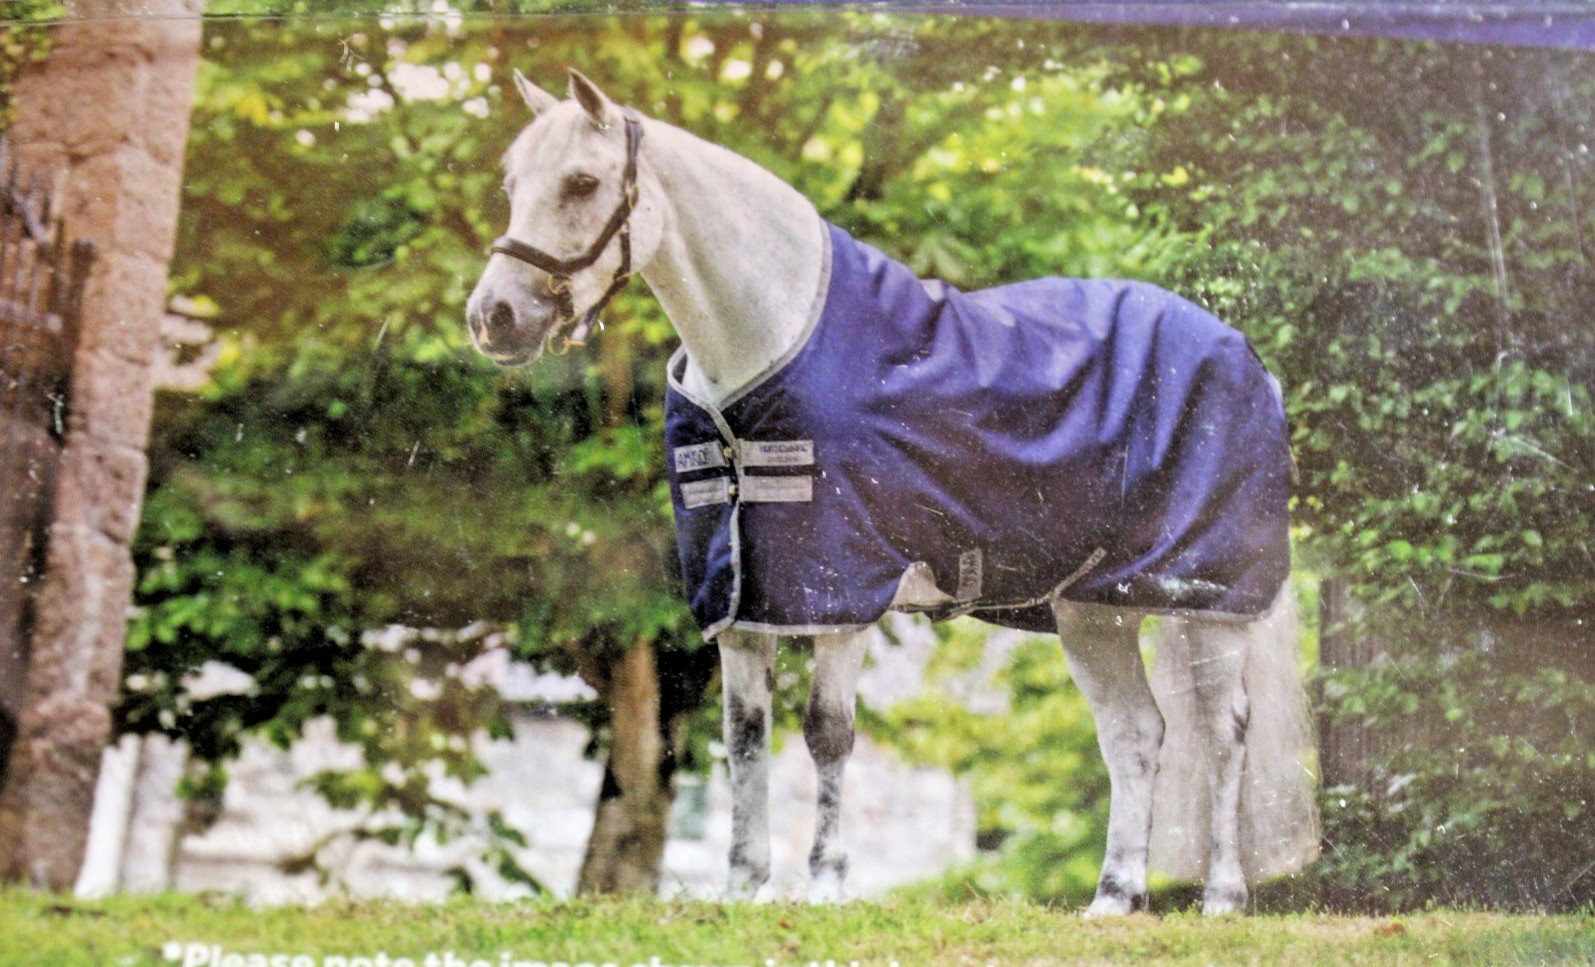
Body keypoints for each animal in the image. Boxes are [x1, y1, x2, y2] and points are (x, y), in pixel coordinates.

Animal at [466, 69, 1319, 914]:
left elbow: (825, 732)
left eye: (582, 181)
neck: (770, 342)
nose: (493, 316)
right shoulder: (743, 598)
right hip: (1091, 610)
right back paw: (1114, 898)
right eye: (511, 183)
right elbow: (744, 736)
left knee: (1222, 731)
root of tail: (1243, 354)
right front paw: (743, 889)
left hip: (1205, 598)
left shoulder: (843, 590)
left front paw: (825, 883)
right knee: (1135, 733)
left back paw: (1222, 897)